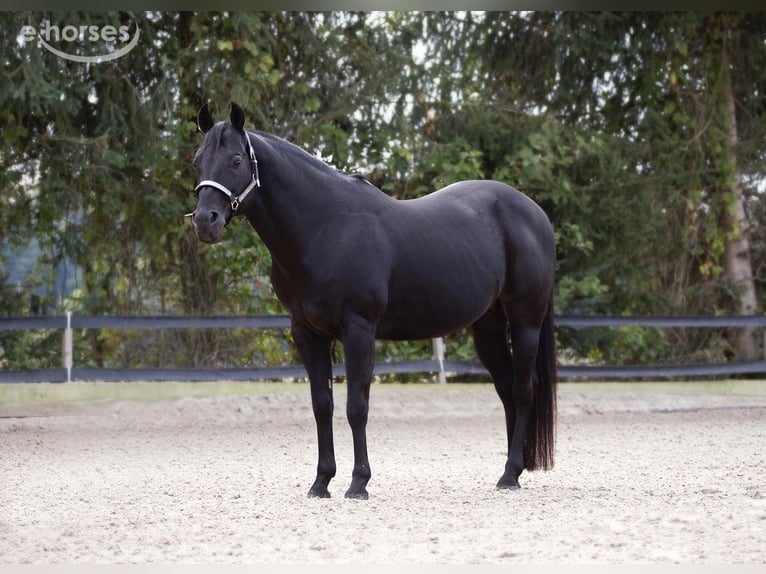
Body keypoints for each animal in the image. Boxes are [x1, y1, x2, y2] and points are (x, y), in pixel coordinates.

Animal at [189, 102, 558, 500]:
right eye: (197, 161)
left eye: (237, 160)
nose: (205, 221)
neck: (325, 227)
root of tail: (536, 214)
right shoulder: (306, 333)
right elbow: (322, 405)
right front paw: (321, 482)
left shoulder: (359, 331)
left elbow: (356, 407)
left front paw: (358, 483)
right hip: (487, 326)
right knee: (506, 389)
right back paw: (510, 472)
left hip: (525, 321)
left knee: (523, 389)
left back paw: (510, 474)